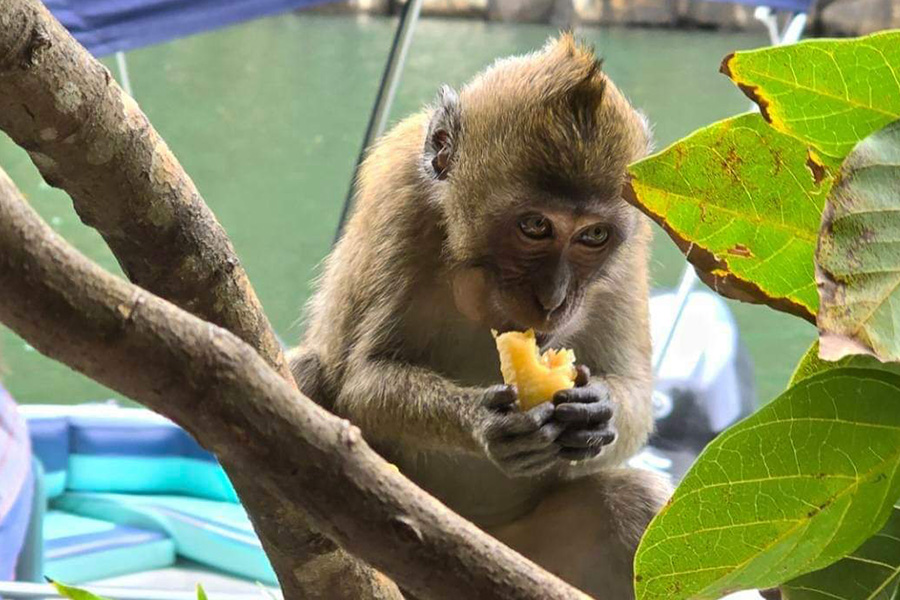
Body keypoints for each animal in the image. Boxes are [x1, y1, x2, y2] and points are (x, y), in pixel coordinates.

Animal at [289, 34, 672, 599]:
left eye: (594, 235)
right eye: (535, 226)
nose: (554, 299)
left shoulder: (634, 238)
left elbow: (637, 392)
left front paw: (595, 409)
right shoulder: (402, 205)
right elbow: (362, 378)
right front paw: (486, 423)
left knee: (635, 504)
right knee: (309, 374)